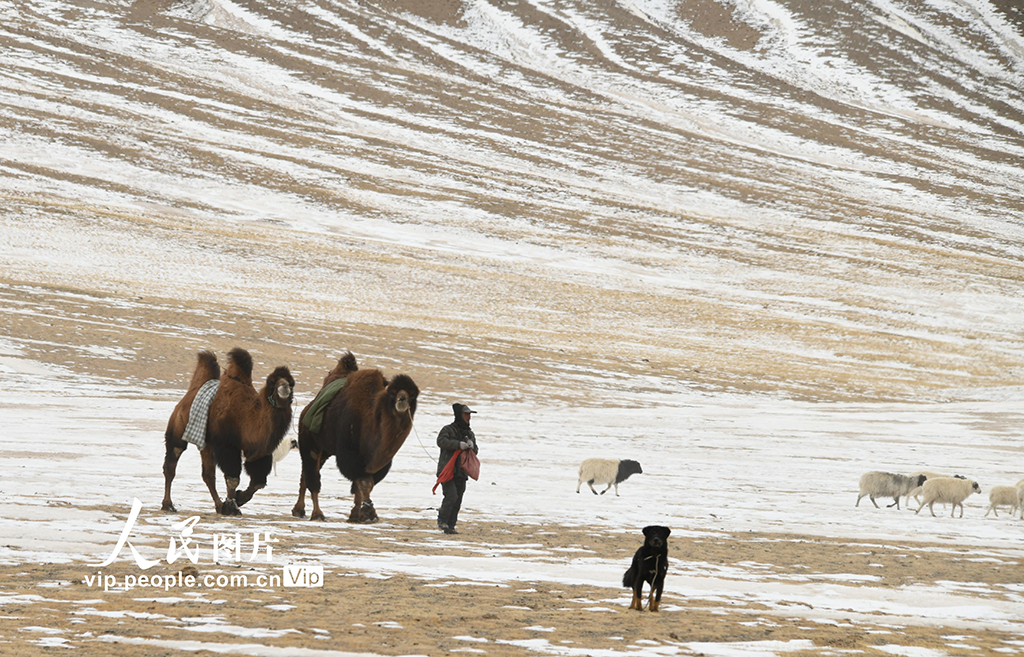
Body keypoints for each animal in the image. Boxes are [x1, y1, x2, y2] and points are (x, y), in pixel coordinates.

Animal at [161, 345, 294, 513]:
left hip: (207, 444)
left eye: (292, 383)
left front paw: (238, 499)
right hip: (178, 429)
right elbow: (233, 479)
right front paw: (232, 506)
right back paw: (168, 504)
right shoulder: (227, 445)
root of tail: (191, 391)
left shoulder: (260, 451)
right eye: (272, 382)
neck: (248, 417)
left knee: (208, 475)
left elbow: (258, 482)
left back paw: (218, 505)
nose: (284, 387)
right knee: (172, 463)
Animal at [290, 352, 417, 521]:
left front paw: (357, 515)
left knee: (306, 474)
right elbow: (363, 482)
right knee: (312, 477)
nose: (402, 399)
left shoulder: (375, 462)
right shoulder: (350, 453)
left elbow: (362, 484)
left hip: (325, 450)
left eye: (412, 394)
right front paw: (369, 513)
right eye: (393, 392)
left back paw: (299, 510)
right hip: (309, 442)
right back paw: (316, 514)